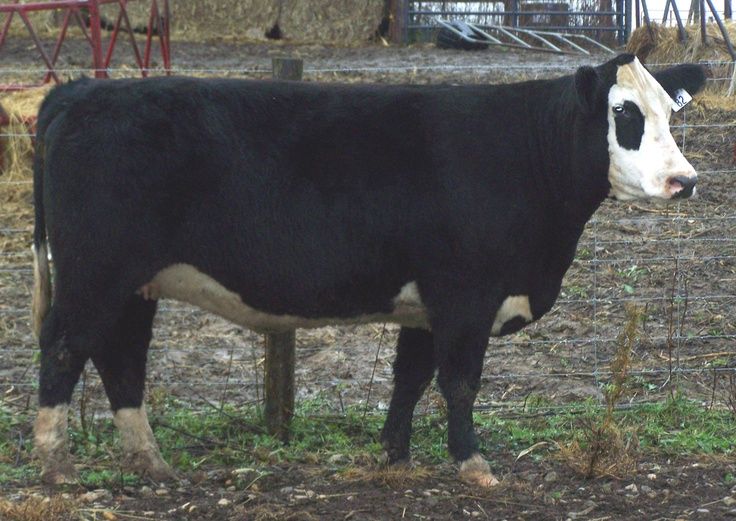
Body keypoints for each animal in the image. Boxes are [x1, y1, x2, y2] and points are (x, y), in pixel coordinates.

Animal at [33, 54, 708, 486]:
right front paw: (473, 465)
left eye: (670, 113)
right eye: (625, 114)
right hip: (96, 273)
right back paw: (57, 465)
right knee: (64, 349)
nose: (685, 181)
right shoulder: (466, 294)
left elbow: (409, 378)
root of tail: (84, 90)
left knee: (121, 359)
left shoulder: (425, 303)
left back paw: (151, 463)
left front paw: (396, 457)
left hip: (134, 285)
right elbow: (459, 382)